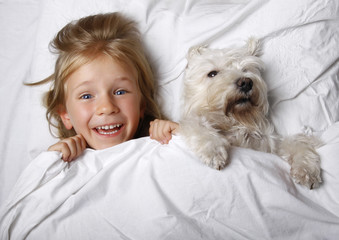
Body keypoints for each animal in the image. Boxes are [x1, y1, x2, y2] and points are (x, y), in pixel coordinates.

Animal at [181, 38, 322, 189]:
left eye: (245, 70)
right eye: (212, 73)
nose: (246, 82)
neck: (235, 121)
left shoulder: (269, 145)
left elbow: (297, 143)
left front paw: (306, 169)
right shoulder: (193, 122)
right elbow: (197, 125)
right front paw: (214, 151)